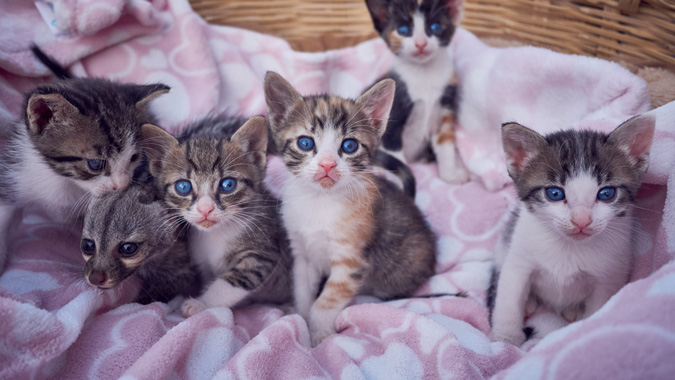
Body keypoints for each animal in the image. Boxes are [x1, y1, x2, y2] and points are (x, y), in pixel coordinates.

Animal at [141, 114, 292, 316]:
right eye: (183, 187)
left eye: (228, 185)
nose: (206, 209)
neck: (216, 233)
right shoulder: (203, 264)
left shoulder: (262, 253)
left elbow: (230, 282)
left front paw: (201, 303)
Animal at [264, 71, 438, 348]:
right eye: (305, 143)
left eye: (349, 146)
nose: (327, 165)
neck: (319, 202)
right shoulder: (302, 253)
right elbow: (303, 290)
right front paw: (300, 316)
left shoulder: (351, 260)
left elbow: (326, 301)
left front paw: (319, 335)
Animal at [364, 0, 470, 184]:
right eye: (403, 30)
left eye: (435, 27)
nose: (421, 43)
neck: (424, 73)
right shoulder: (394, 112)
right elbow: (395, 155)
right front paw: (398, 182)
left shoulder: (444, 110)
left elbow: (445, 143)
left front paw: (449, 174)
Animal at [492, 114, 656, 346]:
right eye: (554, 193)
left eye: (606, 194)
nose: (581, 221)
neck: (568, 246)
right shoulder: (518, 259)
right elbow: (509, 297)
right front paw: (505, 340)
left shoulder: (610, 275)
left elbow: (598, 309)